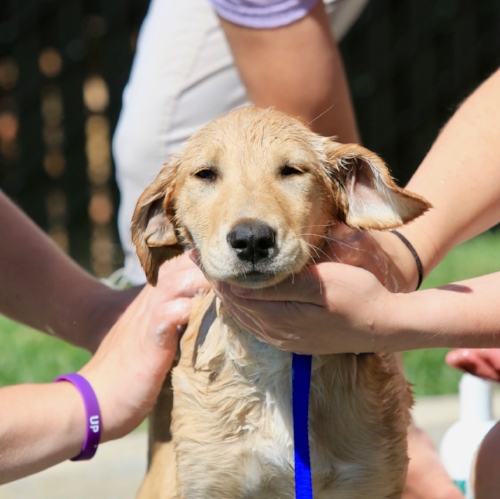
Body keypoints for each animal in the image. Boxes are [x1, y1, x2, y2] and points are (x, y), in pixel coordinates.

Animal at [130, 106, 430, 499]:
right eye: (205, 174)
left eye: (291, 170)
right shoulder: (210, 480)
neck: (274, 360)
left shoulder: (371, 479)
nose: (252, 239)